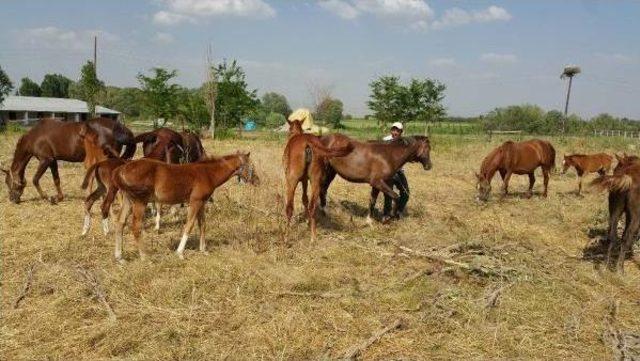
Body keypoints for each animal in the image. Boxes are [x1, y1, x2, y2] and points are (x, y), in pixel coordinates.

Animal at [1, 117, 135, 202]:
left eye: (8, 182)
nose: (12, 199)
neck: (35, 136)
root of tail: (120, 127)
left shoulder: (45, 160)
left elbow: (35, 179)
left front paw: (46, 197)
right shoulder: (53, 161)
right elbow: (56, 180)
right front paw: (58, 197)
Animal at [113, 152, 260, 262]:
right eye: (251, 165)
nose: (258, 181)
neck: (207, 173)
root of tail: (121, 169)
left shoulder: (201, 202)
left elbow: (202, 225)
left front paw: (203, 250)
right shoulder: (195, 202)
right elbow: (189, 225)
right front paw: (180, 253)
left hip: (128, 200)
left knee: (120, 222)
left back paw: (119, 257)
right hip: (140, 201)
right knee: (136, 226)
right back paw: (145, 257)